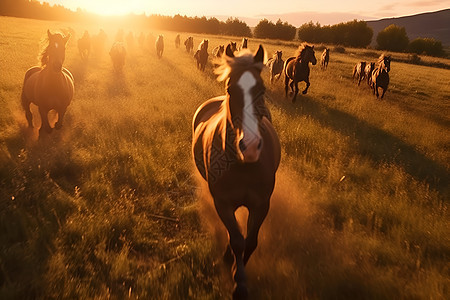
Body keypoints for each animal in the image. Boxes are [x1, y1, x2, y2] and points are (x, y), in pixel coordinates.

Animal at [192, 43, 282, 298]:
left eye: (261, 89)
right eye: (231, 89)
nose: (250, 146)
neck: (244, 166)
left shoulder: (261, 205)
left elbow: (250, 241)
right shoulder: (223, 203)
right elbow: (237, 240)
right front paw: (238, 281)